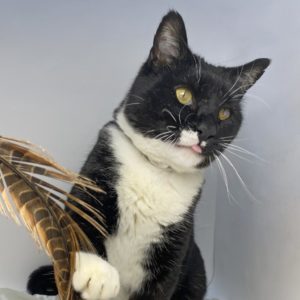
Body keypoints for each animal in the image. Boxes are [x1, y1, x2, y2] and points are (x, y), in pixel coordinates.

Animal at [26, 9, 270, 300]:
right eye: (183, 94)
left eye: (225, 114)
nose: (207, 131)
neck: (157, 170)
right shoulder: (96, 172)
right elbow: (82, 216)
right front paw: (98, 272)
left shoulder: (176, 244)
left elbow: (161, 283)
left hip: (196, 273)